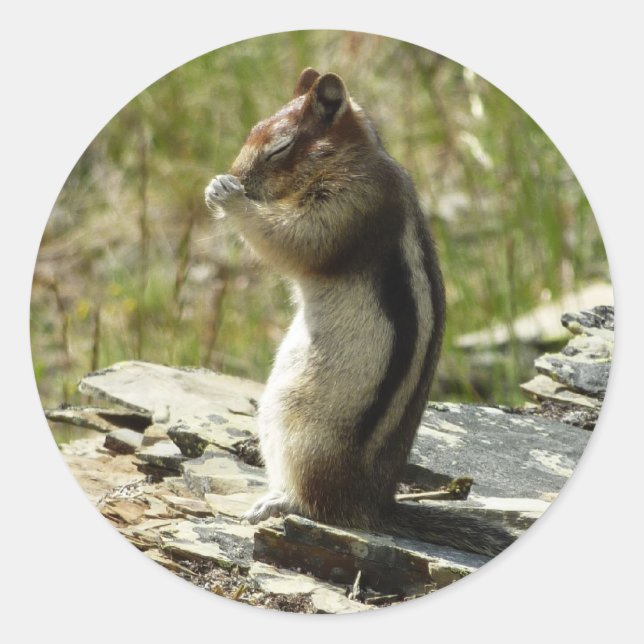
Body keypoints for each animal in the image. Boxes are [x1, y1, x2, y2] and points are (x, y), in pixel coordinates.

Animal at [205, 68, 515, 557]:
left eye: (279, 147)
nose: (237, 175)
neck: (351, 157)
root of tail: (373, 504)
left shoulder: (349, 204)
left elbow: (296, 240)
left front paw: (228, 196)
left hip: (296, 425)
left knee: (316, 504)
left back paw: (276, 502)